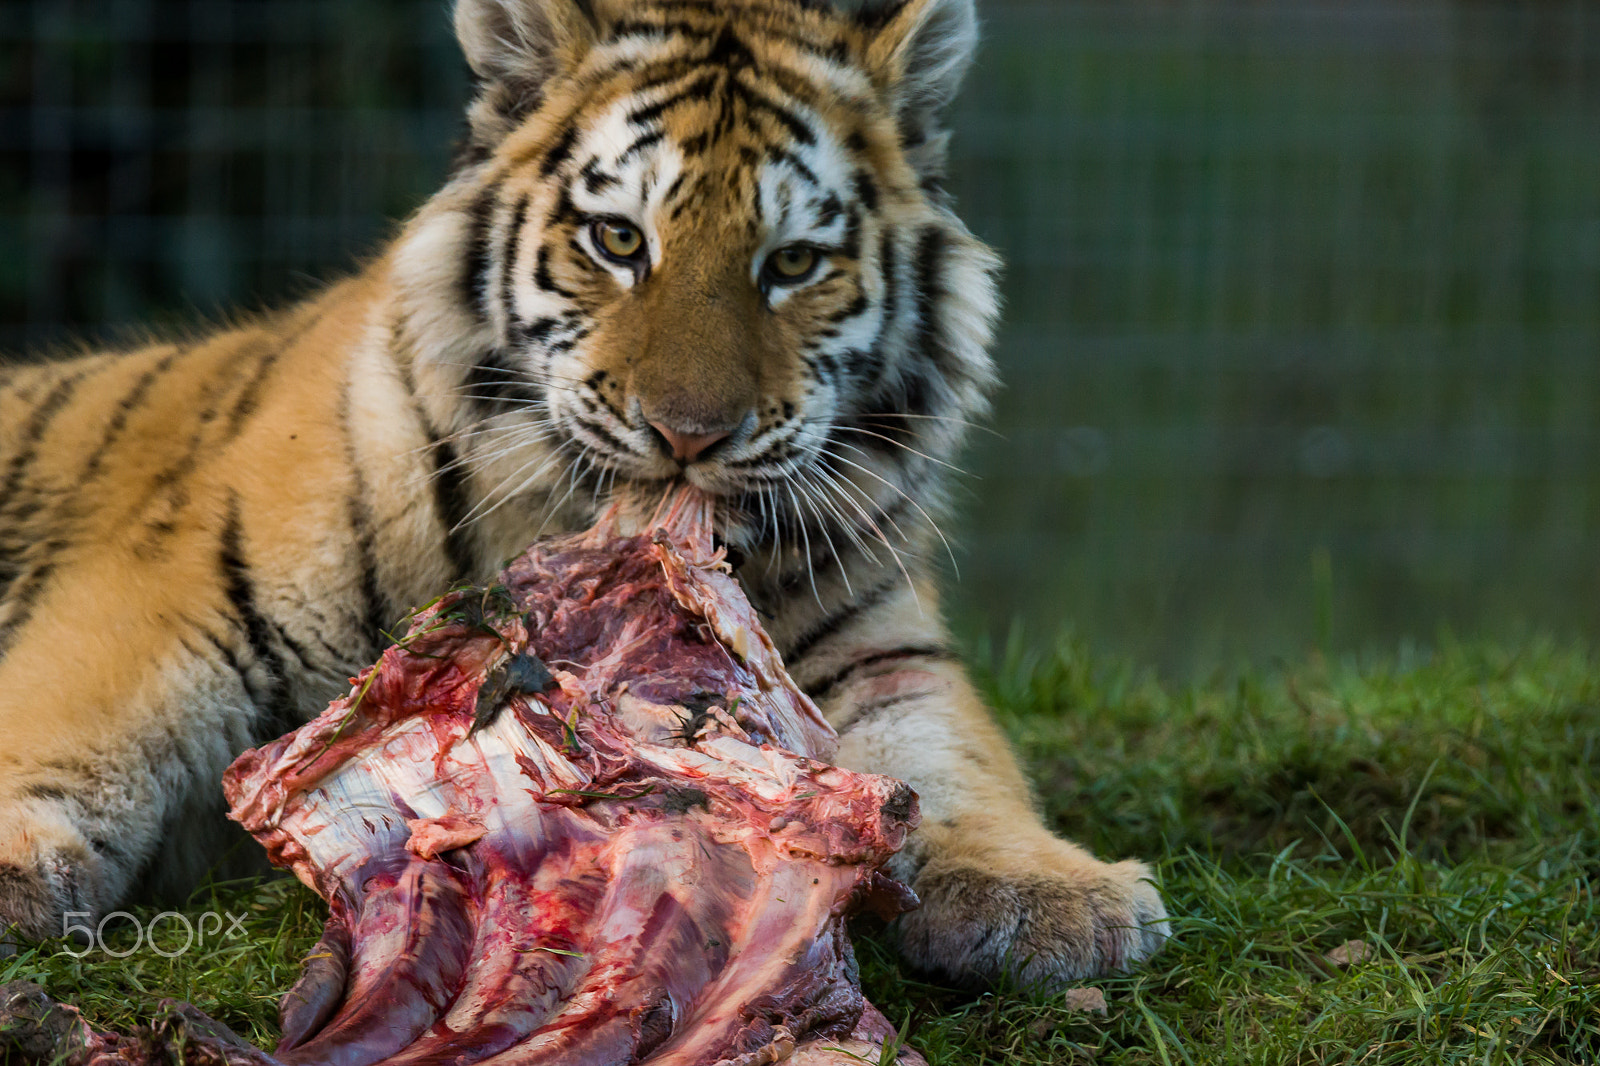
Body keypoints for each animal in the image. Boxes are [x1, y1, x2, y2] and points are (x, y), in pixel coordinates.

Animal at [0, 0, 1171, 985]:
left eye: (792, 264)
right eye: (618, 240)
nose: (690, 433)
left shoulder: (880, 647)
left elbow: (955, 758)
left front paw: (1049, 894)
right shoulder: (172, 599)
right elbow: (77, 725)